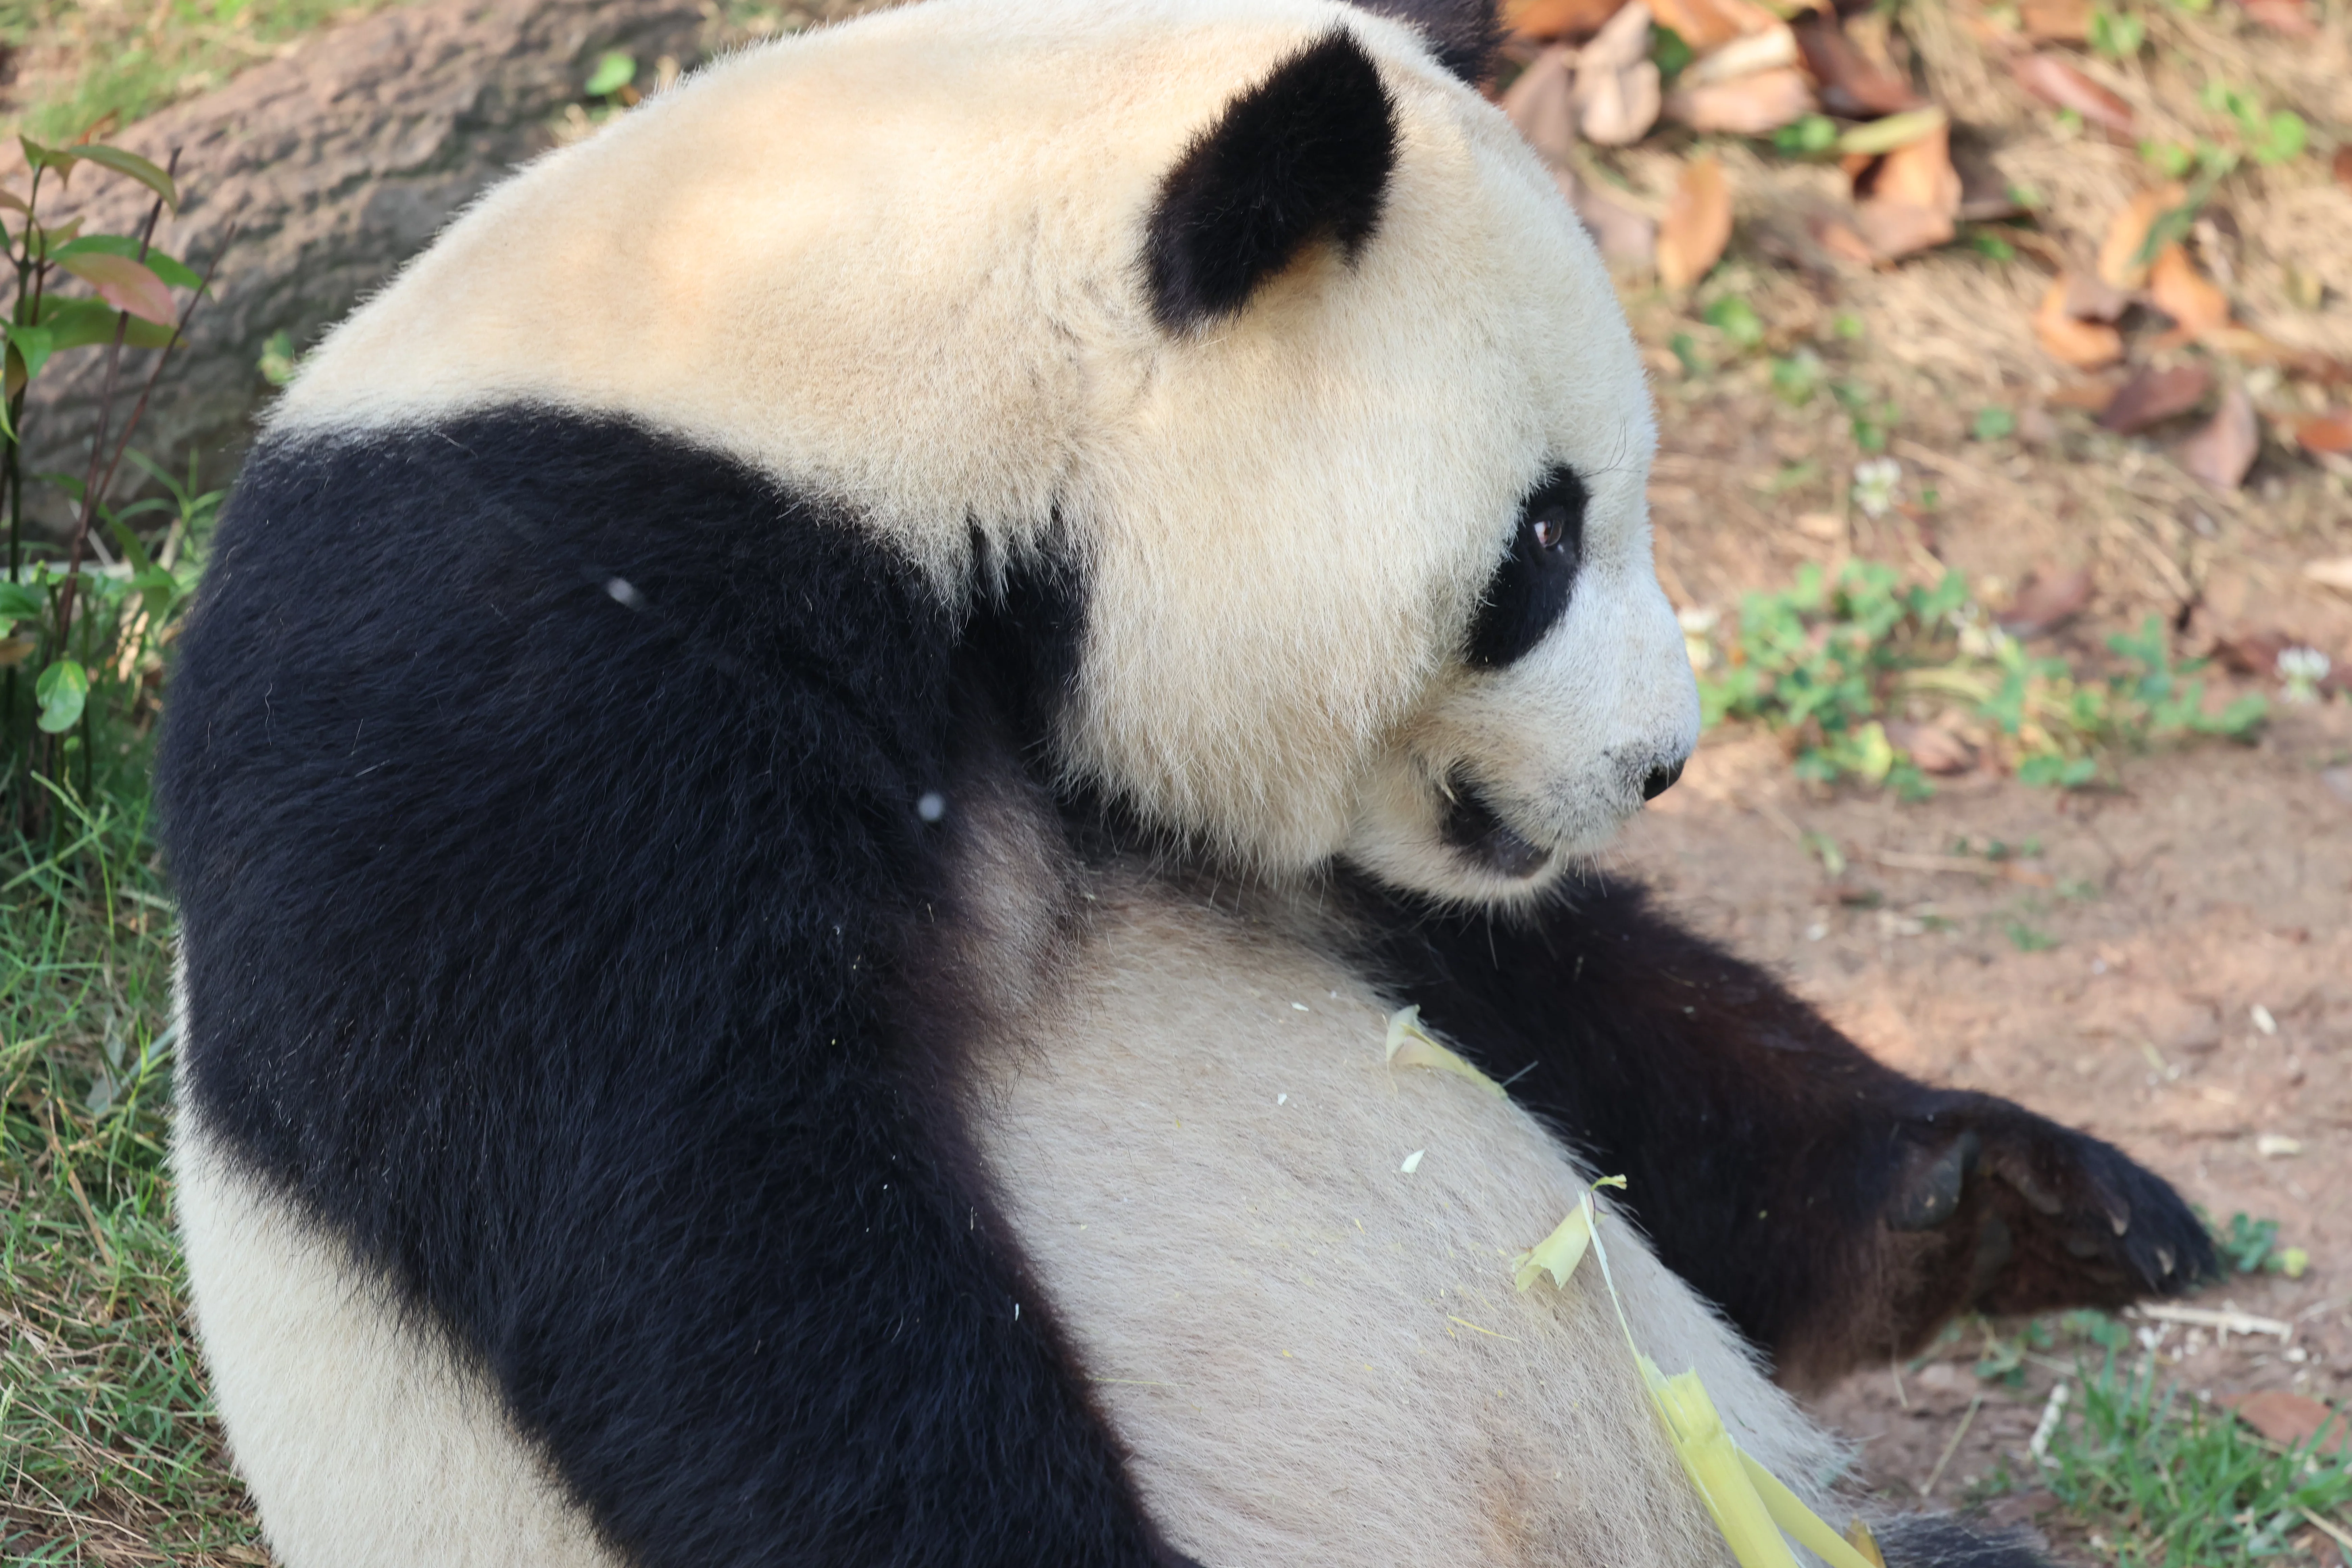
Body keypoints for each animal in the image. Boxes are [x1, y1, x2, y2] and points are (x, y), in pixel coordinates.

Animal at [154, 0, 2215, 1563]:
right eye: (1544, 537)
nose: (1658, 759)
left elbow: (1547, 988)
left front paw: (2001, 1196)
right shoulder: (535, 693)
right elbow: (712, 1253)